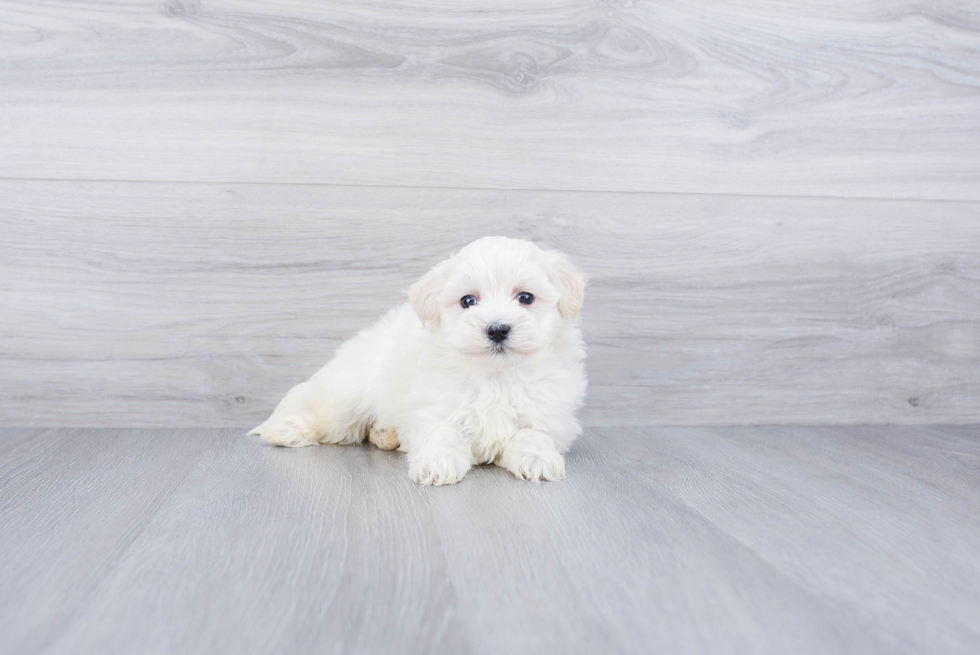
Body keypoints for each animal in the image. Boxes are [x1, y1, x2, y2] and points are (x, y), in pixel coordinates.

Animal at [253, 237, 588, 486]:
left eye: (526, 297)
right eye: (468, 301)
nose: (497, 329)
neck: (495, 376)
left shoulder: (552, 418)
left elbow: (533, 434)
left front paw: (537, 459)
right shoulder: (434, 407)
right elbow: (443, 432)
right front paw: (437, 463)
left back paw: (385, 434)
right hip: (349, 396)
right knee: (322, 413)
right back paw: (287, 430)